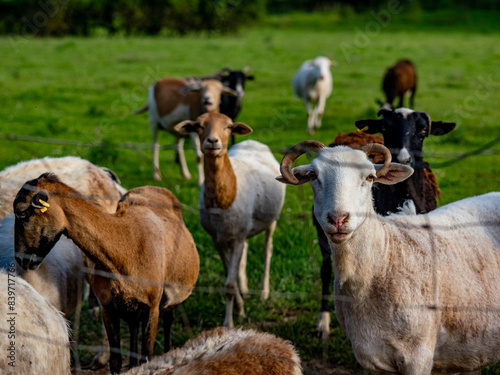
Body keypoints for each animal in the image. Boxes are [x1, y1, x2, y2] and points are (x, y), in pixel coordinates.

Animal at [12, 175, 199, 374]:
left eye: (22, 213)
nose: (21, 259)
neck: (125, 245)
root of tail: (155, 187)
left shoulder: (152, 308)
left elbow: (146, 358)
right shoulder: (108, 307)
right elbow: (115, 361)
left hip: (168, 300)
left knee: (168, 321)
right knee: (133, 331)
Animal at [175, 111, 286, 328]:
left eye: (228, 126)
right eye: (198, 125)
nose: (212, 141)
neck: (221, 202)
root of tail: (252, 141)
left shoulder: (236, 238)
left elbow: (229, 284)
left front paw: (229, 323)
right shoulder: (217, 239)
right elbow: (229, 278)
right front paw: (239, 309)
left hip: (271, 220)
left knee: (267, 250)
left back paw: (263, 292)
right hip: (242, 227)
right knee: (246, 251)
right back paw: (245, 288)